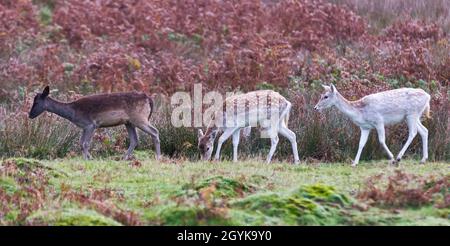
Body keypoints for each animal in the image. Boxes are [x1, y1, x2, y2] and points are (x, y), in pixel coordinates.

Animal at [28, 86, 162, 160]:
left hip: (140, 118)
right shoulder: (84, 127)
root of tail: (149, 99)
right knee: (134, 139)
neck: (73, 113)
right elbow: (80, 143)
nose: (30, 115)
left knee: (155, 131)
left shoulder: (90, 125)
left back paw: (158, 157)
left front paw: (88, 159)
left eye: (36, 102)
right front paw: (87, 158)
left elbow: (85, 143)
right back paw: (123, 158)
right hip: (129, 122)